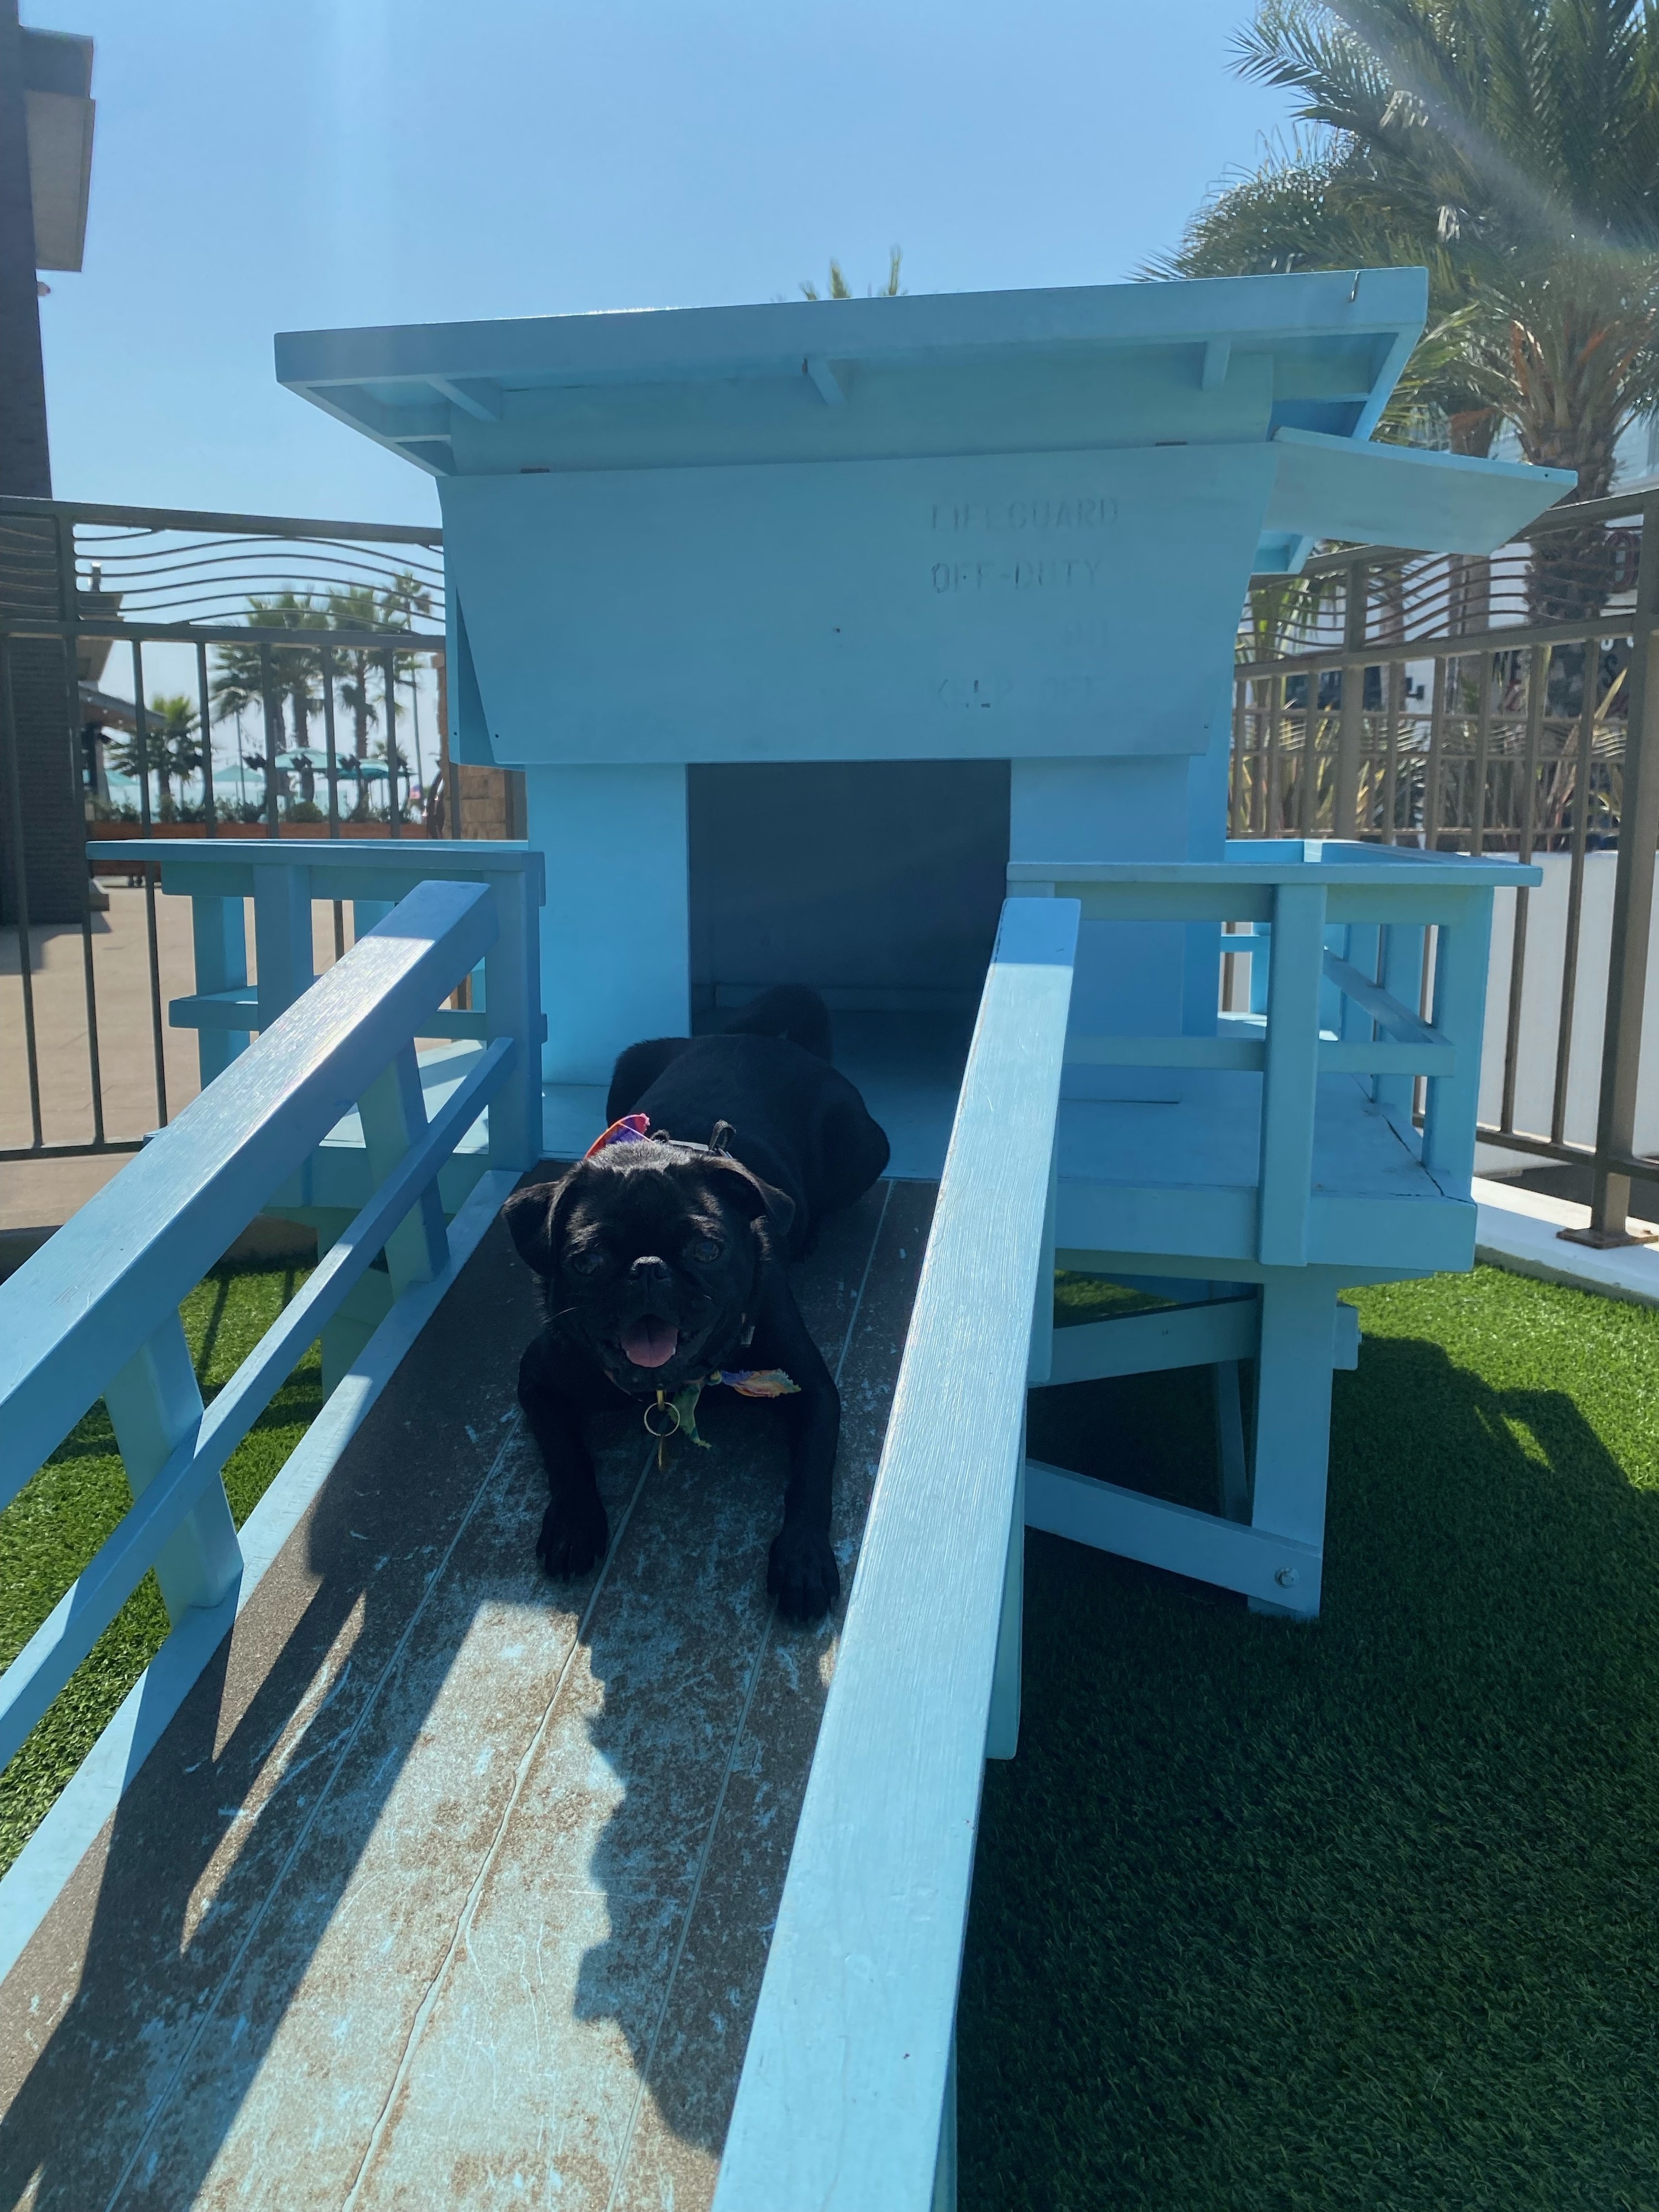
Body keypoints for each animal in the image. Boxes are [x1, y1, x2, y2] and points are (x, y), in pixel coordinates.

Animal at [507, 987, 889, 1628]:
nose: (647, 1268)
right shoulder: (537, 1377)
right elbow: (565, 1453)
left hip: (862, 1149)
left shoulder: (812, 1389)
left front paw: (803, 1560)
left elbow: (811, 1479)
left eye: (707, 1250)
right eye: (587, 1261)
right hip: (627, 1065)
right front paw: (574, 1523)